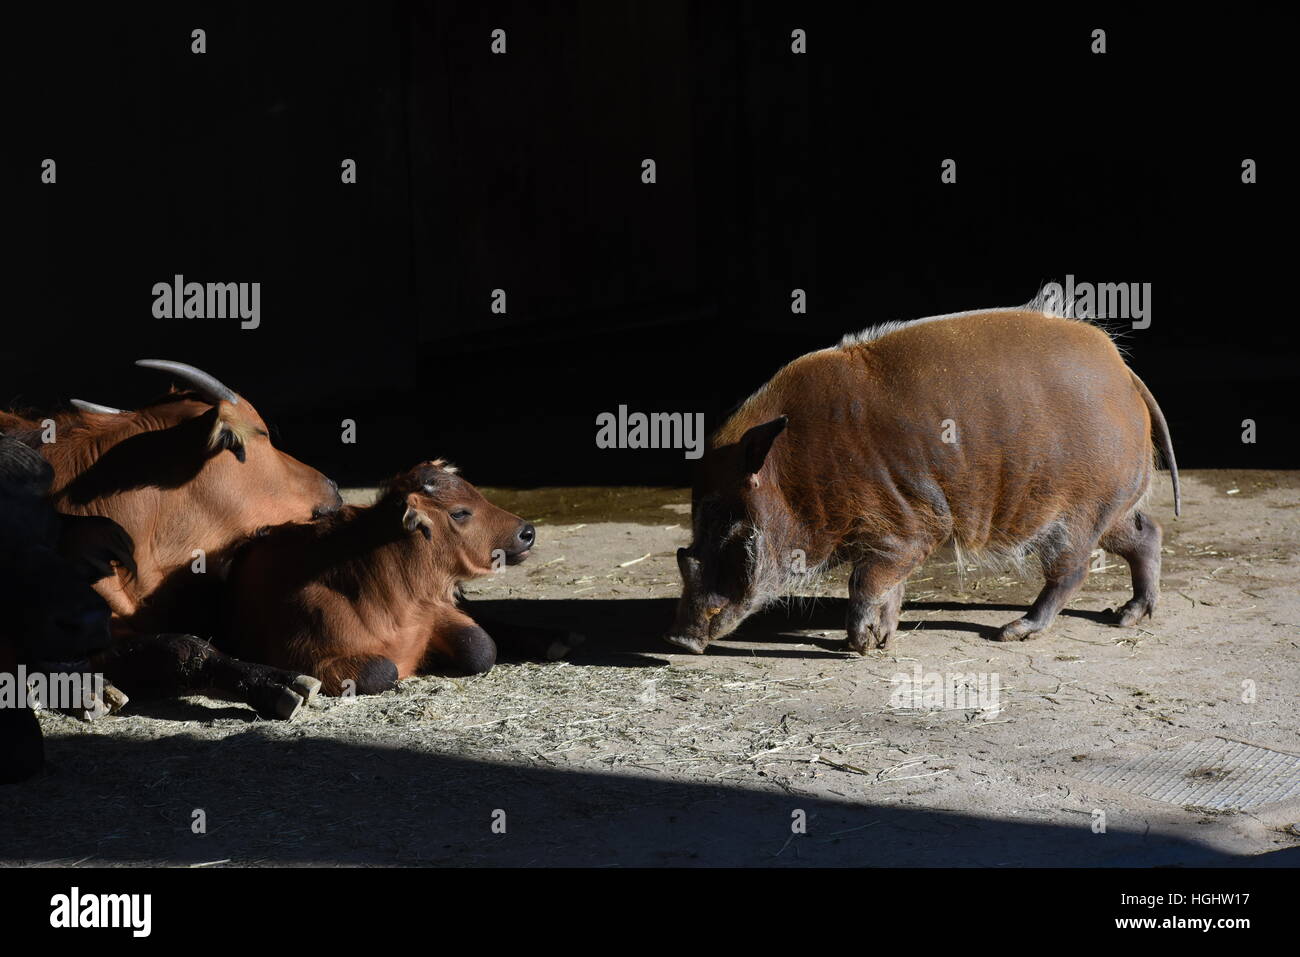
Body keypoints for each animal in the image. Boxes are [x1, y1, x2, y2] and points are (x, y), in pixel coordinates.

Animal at [222, 460, 548, 691]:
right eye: (460, 512)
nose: (528, 532)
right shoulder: (303, 657)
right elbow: (383, 670)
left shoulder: (437, 610)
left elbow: (482, 647)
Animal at [665, 293, 1185, 650]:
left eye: (724, 518)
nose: (678, 640)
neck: (795, 474)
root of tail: (1125, 372)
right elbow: (886, 588)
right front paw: (881, 640)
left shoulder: (908, 529)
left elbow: (867, 582)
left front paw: (860, 645)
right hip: (1110, 506)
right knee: (1147, 533)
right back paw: (1127, 616)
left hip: (1077, 512)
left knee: (1071, 570)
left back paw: (1012, 631)